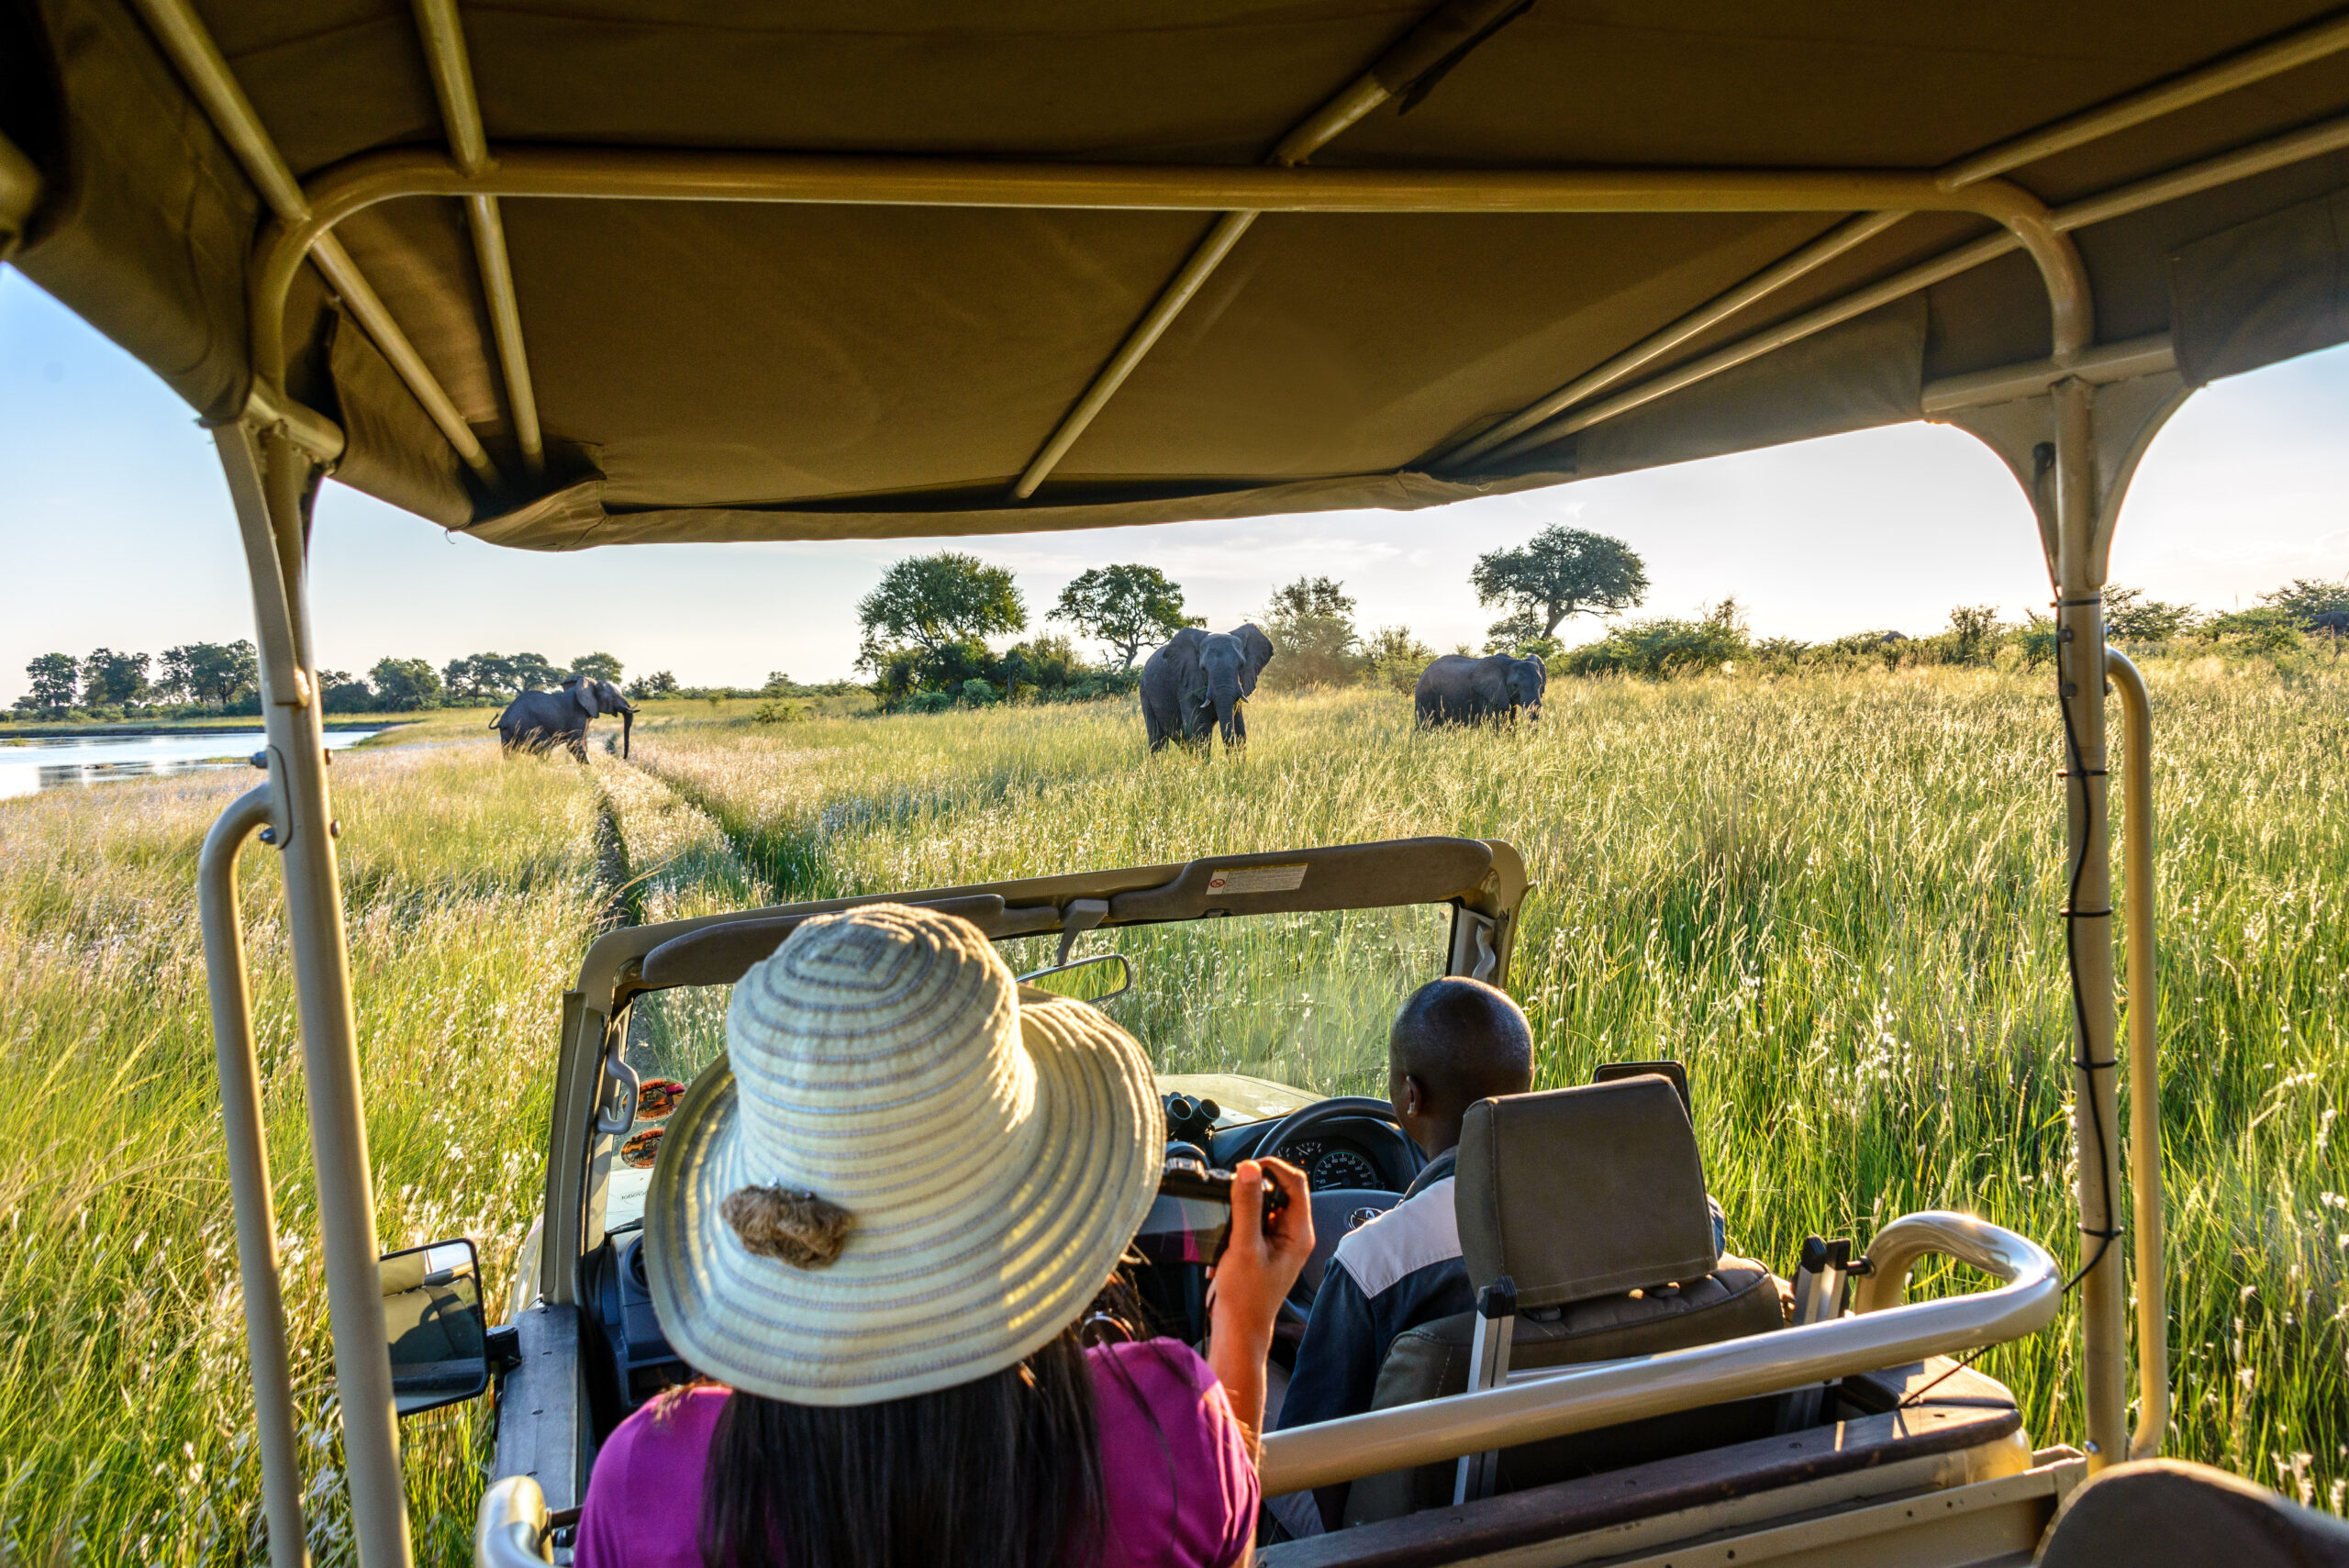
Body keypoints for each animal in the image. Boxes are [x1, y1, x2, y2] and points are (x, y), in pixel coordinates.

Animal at [494, 676, 636, 760]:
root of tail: (503, 720)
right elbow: (575, 744)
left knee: (510, 753)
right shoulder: (577, 714)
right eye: (614, 698)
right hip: (527, 725)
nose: (623, 758)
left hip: (508, 734)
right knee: (545, 747)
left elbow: (584, 743)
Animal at [1140, 625, 1274, 752]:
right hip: (1145, 692)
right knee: (1157, 739)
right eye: (1203, 668)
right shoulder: (1186, 684)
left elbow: (1240, 727)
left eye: (1241, 665)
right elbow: (1199, 729)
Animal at [1414, 653, 1546, 726]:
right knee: (1426, 725)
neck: (1511, 661)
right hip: (1425, 696)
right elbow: (1497, 723)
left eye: (1540, 683)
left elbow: (1511, 720)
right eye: (1515, 685)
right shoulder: (1489, 695)